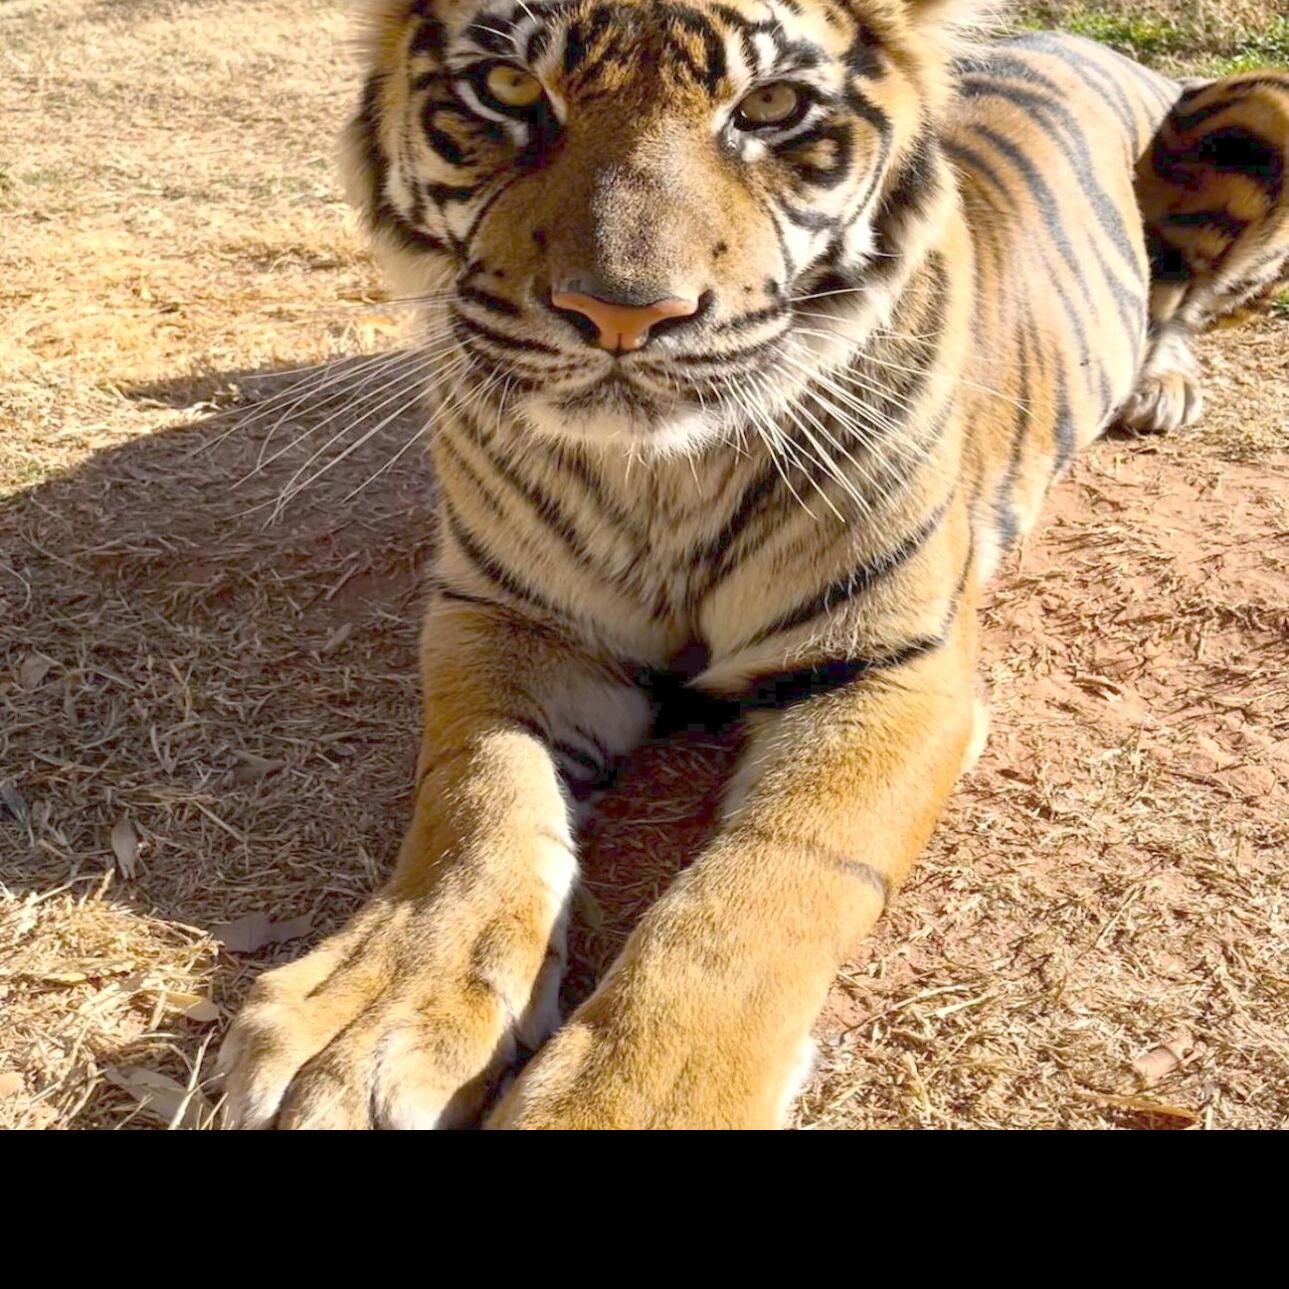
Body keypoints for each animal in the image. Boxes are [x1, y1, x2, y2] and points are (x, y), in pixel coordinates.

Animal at [217, 0, 1289, 1129]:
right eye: (507, 90)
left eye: (769, 107)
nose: (624, 315)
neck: (660, 477)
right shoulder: (507, 617)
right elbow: (477, 798)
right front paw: (364, 1024)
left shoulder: (891, 669)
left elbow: (763, 883)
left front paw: (628, 1100)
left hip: (1253, 106)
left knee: (1177, 303)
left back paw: (1160, 386)